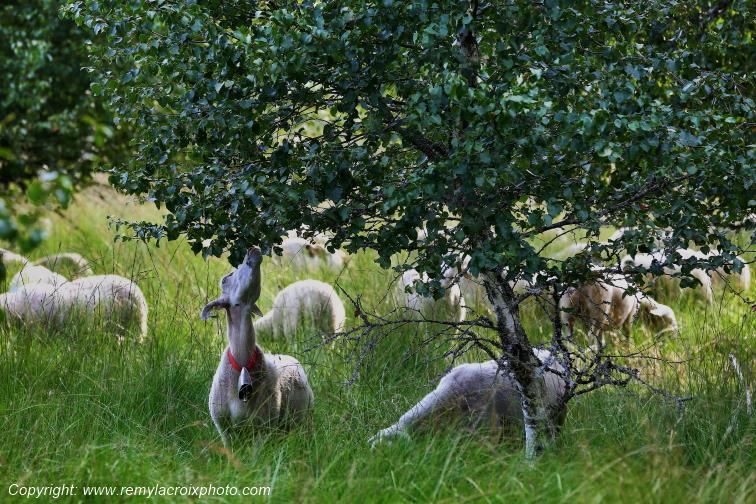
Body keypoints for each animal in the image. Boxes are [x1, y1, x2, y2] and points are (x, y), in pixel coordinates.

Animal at [202, 247, 314, 447]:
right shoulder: (224, 428)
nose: (253, 249)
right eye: (227, 277)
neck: (243, 363)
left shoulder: (262, 429)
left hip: (300, 420)